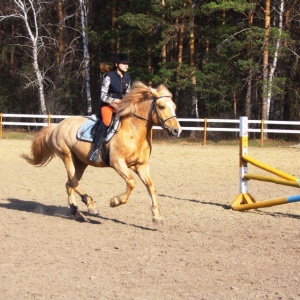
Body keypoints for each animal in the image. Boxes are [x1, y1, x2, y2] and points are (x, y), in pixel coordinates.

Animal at [22, 81, 182, 223]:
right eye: (161, 106)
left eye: (174, 106)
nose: (176, 130)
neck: (133, 132)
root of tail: (57, 126)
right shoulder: (118, 163)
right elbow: (131, 182)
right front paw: (115, 201)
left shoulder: (141, 166)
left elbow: (151, 187)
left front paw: (157, 217)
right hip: (66, 155)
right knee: (73, 182)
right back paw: (90, 205)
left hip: (80, 162)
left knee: (69, 184)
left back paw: (77, 212)